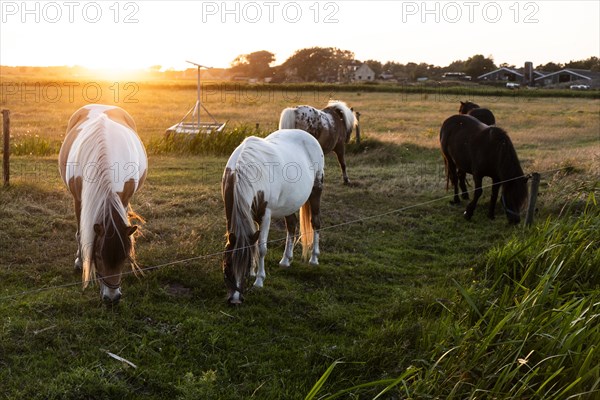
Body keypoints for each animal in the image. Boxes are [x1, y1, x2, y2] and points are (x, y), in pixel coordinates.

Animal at [58, 104, 148, 304]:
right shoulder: (79, 200)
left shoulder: (123, 199)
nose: (112, 299)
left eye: (124, 257)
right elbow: (81, 234)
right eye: (98, 256)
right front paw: (79, 261)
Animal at [221, 130, 326, 304]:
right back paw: (286, 260)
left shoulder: (266, 214)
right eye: (228, 264)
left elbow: (261, 248)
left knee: (315, 223)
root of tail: (309, 136)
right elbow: (253, 244)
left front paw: (259, 280)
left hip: (316, 192)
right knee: (292, 225)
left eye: (244, 268)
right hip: (290, 203)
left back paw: (314, 259)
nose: (235, 299)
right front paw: (254, 272)